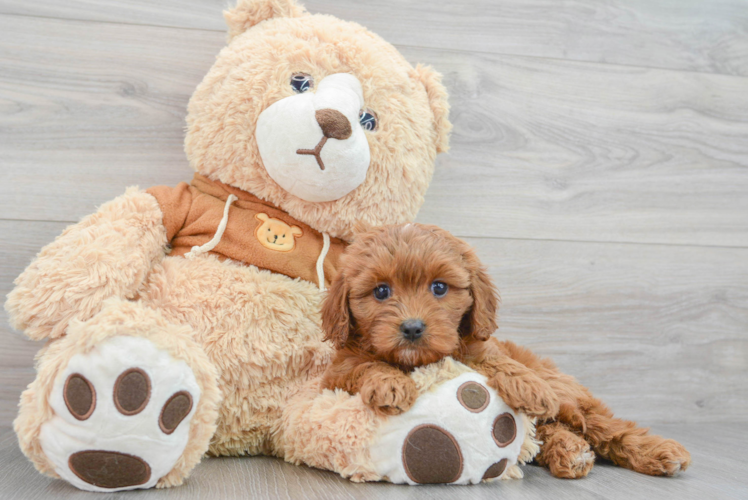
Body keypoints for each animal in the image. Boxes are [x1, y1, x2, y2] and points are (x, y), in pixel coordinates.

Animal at [318, 225, 560, 420]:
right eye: (381, 291)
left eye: (440, 287)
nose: (412, 328)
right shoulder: (337, 373)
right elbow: (367, 365)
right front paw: (390, 384)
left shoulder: (478, 349)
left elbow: (498, 360)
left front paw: (531, 387)